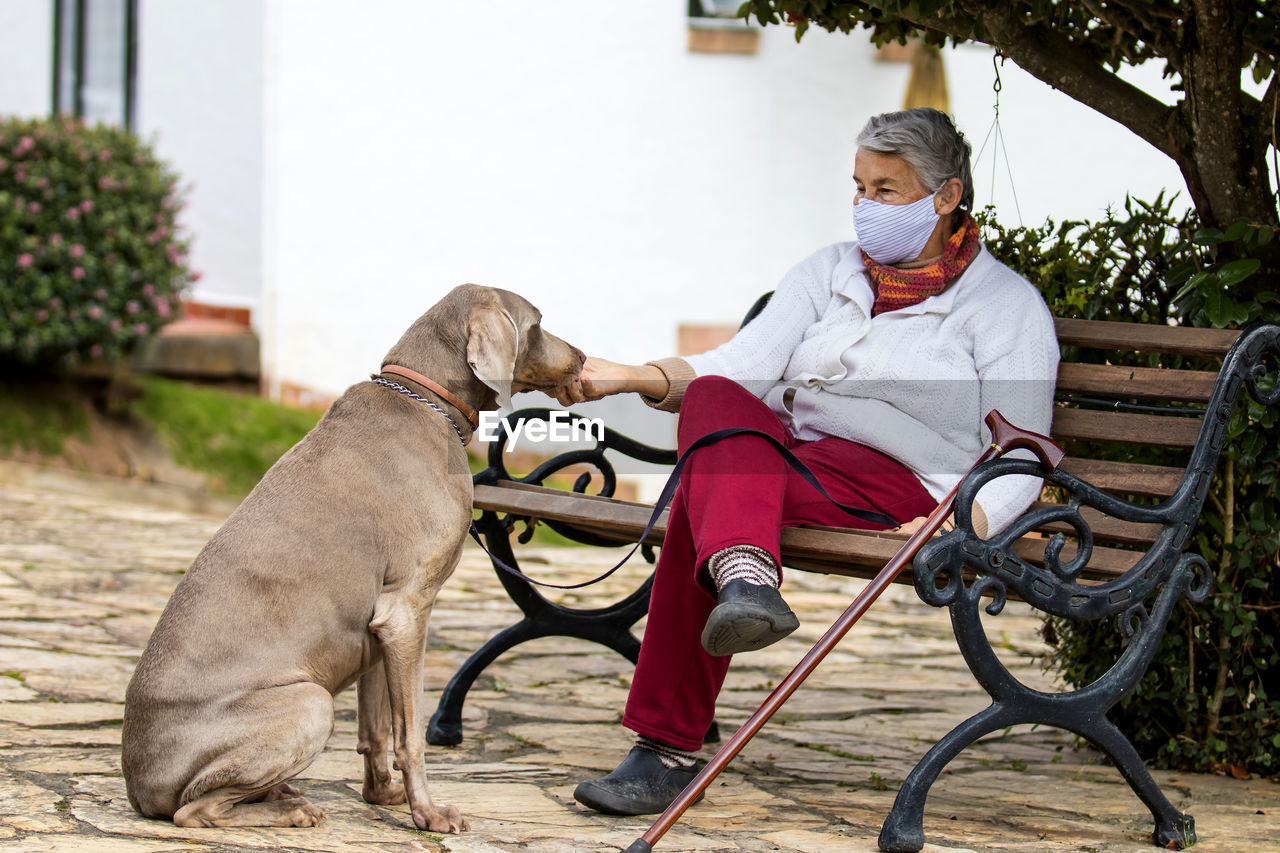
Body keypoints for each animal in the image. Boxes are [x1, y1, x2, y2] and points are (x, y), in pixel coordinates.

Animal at [122, 281, 583, 824]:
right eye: (538, 322)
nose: (581, 358)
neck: (426, 400)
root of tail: (138, 785)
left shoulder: (380, 629)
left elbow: (376, 728)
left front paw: (382, 796)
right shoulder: (406, 610)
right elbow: (410, 734)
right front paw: (427, 814)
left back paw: (282, 794)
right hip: (310, 702)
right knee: (195, 810)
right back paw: (289, 810)